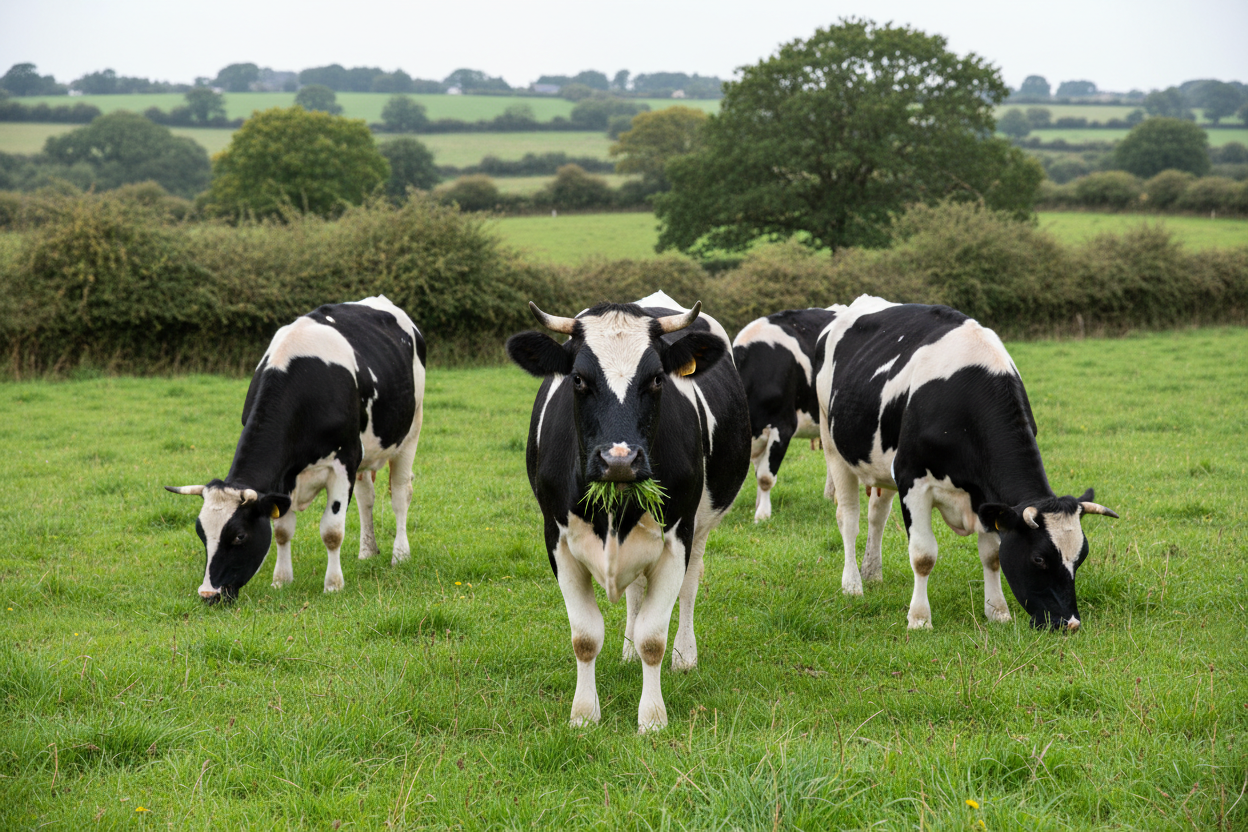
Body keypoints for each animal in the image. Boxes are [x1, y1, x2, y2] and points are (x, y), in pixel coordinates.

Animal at [166, 296, 425, 603]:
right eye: (201, 534)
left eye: (240, 535)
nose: (208, 593)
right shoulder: (285, 477)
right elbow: (281, 530)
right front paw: (281, 580)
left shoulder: (344, 461)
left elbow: (332, 531)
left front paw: (333, 585)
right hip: (367, 454)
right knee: (366, 499)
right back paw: (367, 551)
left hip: (411, 430)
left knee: (400, 495)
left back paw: (400, 554)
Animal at [505, 291, 750, 732]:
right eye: (578, 379)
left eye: (657, 379)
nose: (619, 459)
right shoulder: (557, 541)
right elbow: (585, 637)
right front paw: (584, 715)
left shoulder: (676, 540)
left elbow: (655, 637)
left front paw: (652, 718)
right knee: (636, 593)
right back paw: (627, 651)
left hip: (700, 526)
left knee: (690, 586)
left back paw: (684, 656)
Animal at [814, 295, 1118, 631]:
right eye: (1038, 558)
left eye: (1081, 557)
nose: (1070, 623)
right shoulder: (912, 479)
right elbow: (923, 555)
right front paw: (919, 619)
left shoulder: (986, 497)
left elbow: (993, 555)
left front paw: (997, 612)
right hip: (833, 445)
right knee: (849, 518)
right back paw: (853, 584)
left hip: (880, 464)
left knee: (876, 515)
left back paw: (872, 572)